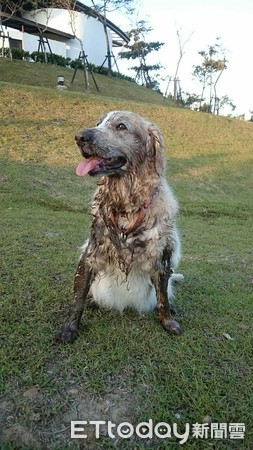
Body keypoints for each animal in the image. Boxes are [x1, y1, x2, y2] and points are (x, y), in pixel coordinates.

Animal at [56, 110, 184, 342]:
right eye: (99, 123)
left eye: (121, 126)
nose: (79, 137)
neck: (126, 204)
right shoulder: (90, 255)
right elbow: (77, 299)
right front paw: (69, 328)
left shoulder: (162, 259)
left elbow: (162, 298)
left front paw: (168, 321)